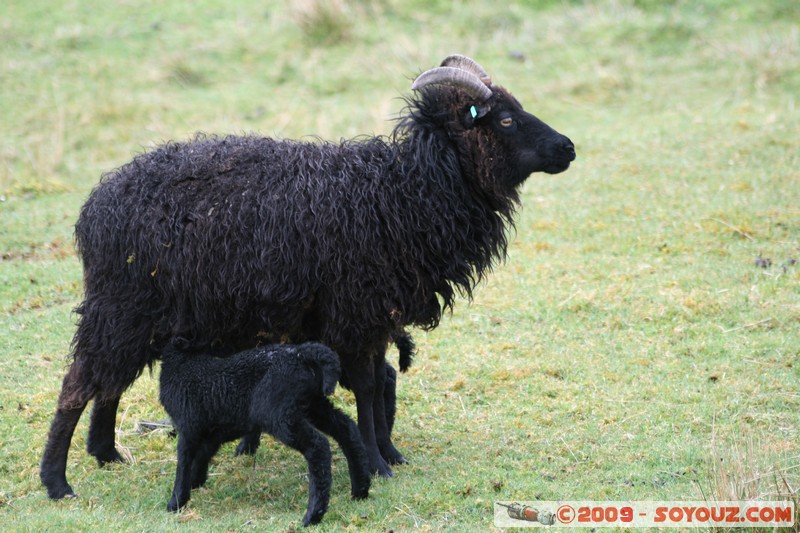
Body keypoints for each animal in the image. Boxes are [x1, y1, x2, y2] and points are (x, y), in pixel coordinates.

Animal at [42, 53, 576, 494]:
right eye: (505, 119)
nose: (568, 147)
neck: (402, 192)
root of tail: (97, 205)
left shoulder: (378, 315)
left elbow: (376, 384)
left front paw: (389, 454)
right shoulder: (355, 311)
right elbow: (367, 388)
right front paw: (377, 463)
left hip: (137, 312)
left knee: (109, 382)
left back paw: (106, 454)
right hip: (122, 303)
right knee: (78, 384)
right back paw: (58, 481)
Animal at [159, 336, 372, 524]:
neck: (182, 363)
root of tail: (301, 353)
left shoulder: (188, 426)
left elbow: (184, 462)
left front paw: (175, 503)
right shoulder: (213, 429)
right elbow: (202, 455)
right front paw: (196, 483)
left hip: (277, 412)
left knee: (318, 446)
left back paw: (313, 516)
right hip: (312, 404)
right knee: (347, 429)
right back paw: (360, 490)